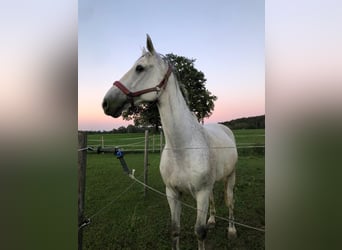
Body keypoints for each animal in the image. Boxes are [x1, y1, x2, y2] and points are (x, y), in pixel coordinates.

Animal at [102, 35, 238, 250]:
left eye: (139, 68)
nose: (106, 103)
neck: (182, 148)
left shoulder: (201, 194)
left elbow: (200, 232)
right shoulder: (172, 193)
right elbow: (175, 230)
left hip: (230, 177)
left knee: (230, 202)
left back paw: (232, 231)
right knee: (214, 200)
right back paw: (212, 220)